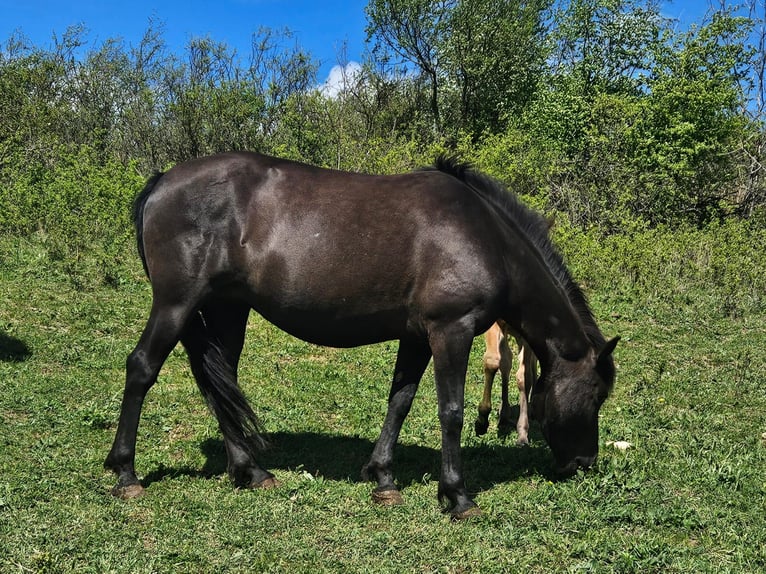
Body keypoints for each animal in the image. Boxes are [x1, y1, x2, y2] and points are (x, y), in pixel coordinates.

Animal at [105, 151, 620, 520]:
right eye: (596, 395)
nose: (583, 465)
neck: (483, 235)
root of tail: (162, 181)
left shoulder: (417, 336)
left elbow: (400, 400)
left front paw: (383, 479)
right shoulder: (451, 331)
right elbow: (450, 412)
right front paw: (456, 497)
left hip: (227, 309)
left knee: (219, 381)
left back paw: (250, 471)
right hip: (176, 303)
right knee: (142, 368)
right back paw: (126, 473)